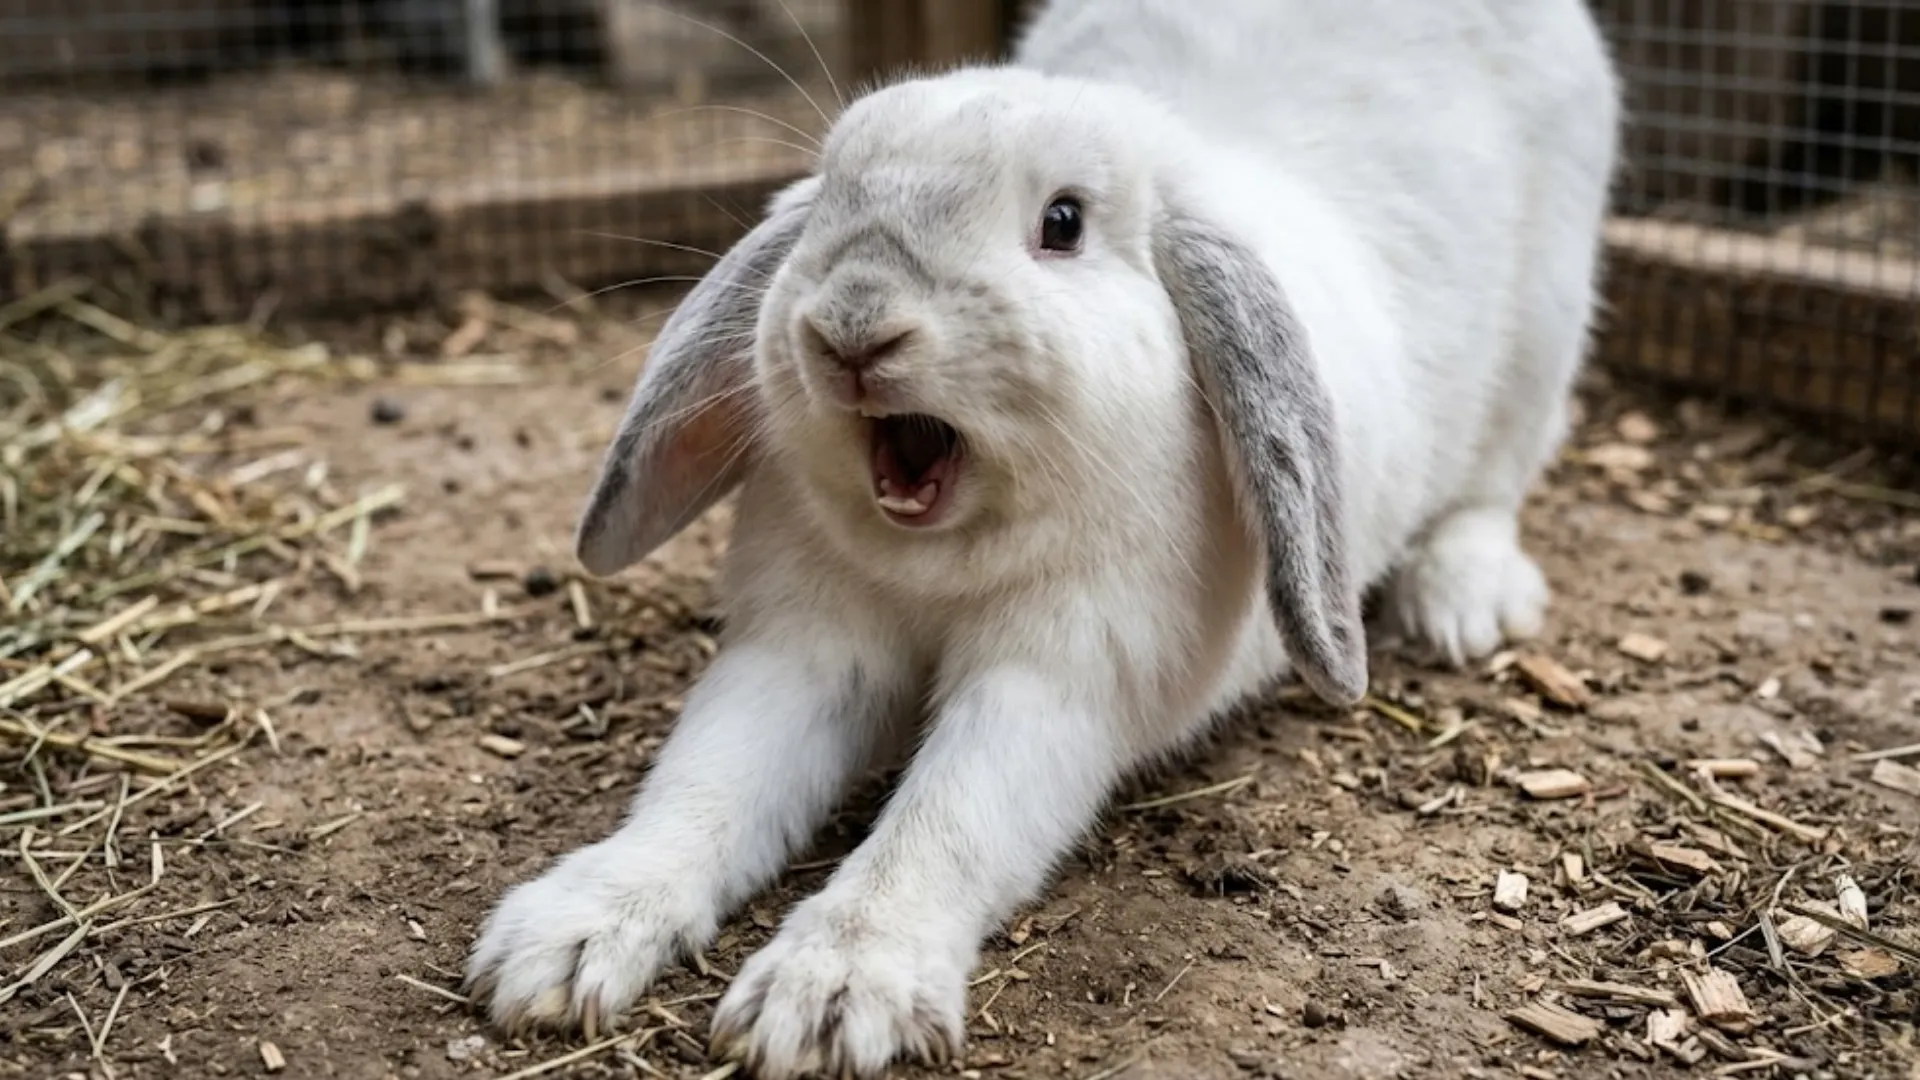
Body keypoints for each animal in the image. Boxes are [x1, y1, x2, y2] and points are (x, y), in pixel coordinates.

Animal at [464, 0, 1622, 1076]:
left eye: (1062, 221)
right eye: (829, 197)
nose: (851, 327)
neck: (943, 554)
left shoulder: (1059, 681)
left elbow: (944, 824)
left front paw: (827, 1002)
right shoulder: (802, 653)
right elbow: (707, 784)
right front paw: (558, 945)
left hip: (1544, 335)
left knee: (1495, 480)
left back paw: (1465, 603)